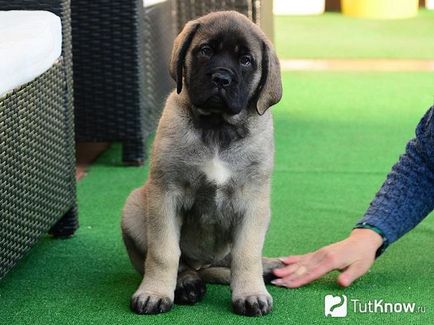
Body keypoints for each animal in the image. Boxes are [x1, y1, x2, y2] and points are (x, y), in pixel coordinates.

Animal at [122, 11, 284, 316]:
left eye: (246, 60)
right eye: (206, 50)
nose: (221, 78)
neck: (217, 127)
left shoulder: (253, 203)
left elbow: (246, 254)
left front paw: (251, 293)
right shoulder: (166, 194)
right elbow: (164, 252)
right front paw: (154, 293)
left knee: (229, 261)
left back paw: (268, 267)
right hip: (134, 206)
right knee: (184, 265)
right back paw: (187, 284)